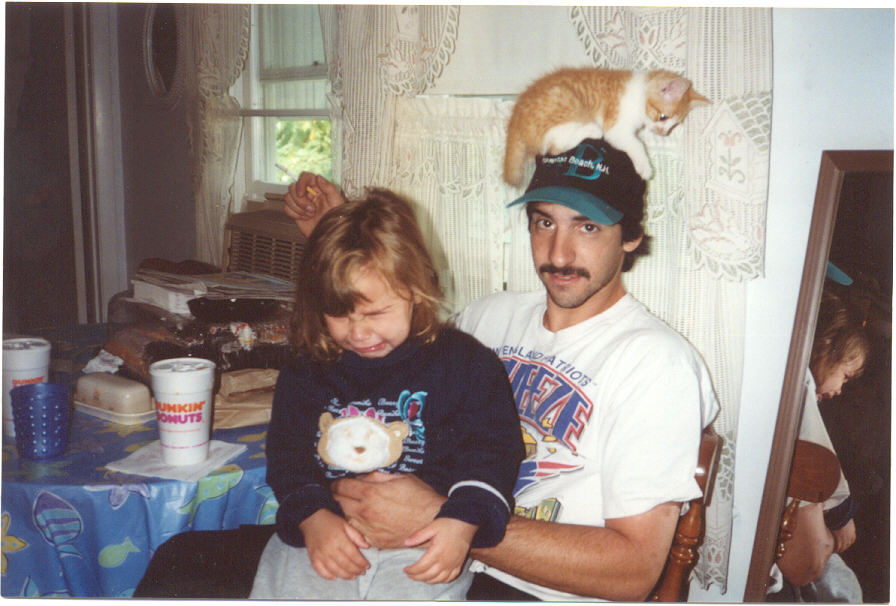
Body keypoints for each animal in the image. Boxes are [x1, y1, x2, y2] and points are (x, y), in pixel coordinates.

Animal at [503, 68, 710, 186]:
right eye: (662, 117)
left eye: (673, 126)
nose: (663, 133)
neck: (640, 93)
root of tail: (515, 122)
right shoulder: (616, 128)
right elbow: (636, 144)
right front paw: (645, 166)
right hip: (562, 100)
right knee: (554, 145)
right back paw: (591, 129)